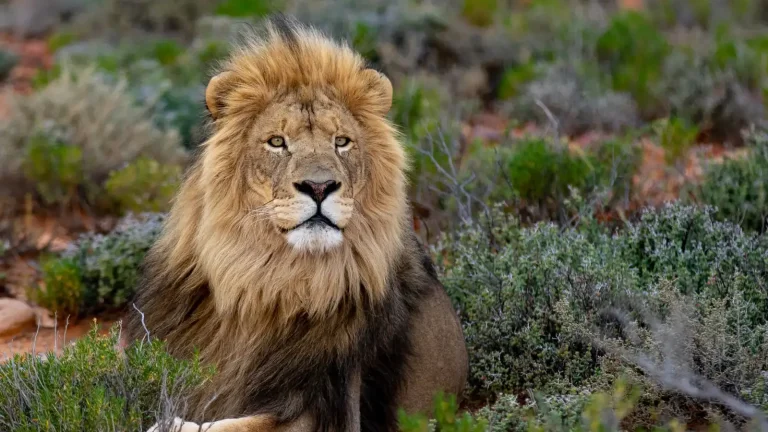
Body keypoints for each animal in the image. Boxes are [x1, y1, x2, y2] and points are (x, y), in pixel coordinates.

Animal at [125, 14, 468, 432]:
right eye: (276, 142)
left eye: (341, 141)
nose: (319, 186)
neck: (273, 283)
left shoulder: (330, 408)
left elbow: (231, 425)